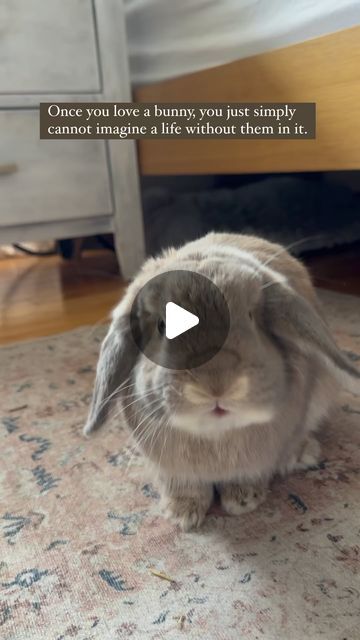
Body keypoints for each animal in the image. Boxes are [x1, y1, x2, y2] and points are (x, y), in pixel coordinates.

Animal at [83, 234, 358, 528]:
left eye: (250, 316)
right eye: (161, 326)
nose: (216, 384)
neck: (215, 435)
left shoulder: (260, 459)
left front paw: (243, 501)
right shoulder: (172, 469)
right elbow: (183, 486)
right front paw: (181, 514)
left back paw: (303, 453)